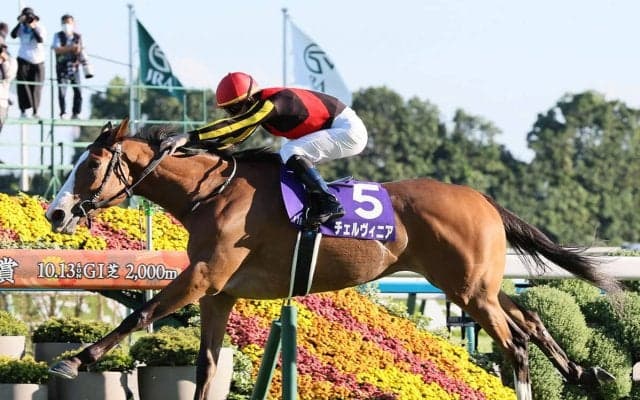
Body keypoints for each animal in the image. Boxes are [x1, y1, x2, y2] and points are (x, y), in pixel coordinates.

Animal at [45, 118, 621, 400]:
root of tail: (483, 199)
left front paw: (75, 359)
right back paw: (585, 373)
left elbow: (141, 313)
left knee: (515, 342)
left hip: (469, 291)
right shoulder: (218, 293)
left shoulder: (203, 275)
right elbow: (207, 366)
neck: (212, 194)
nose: (56, 212)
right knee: (531, 318)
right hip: (476, 284)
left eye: (91, 164)